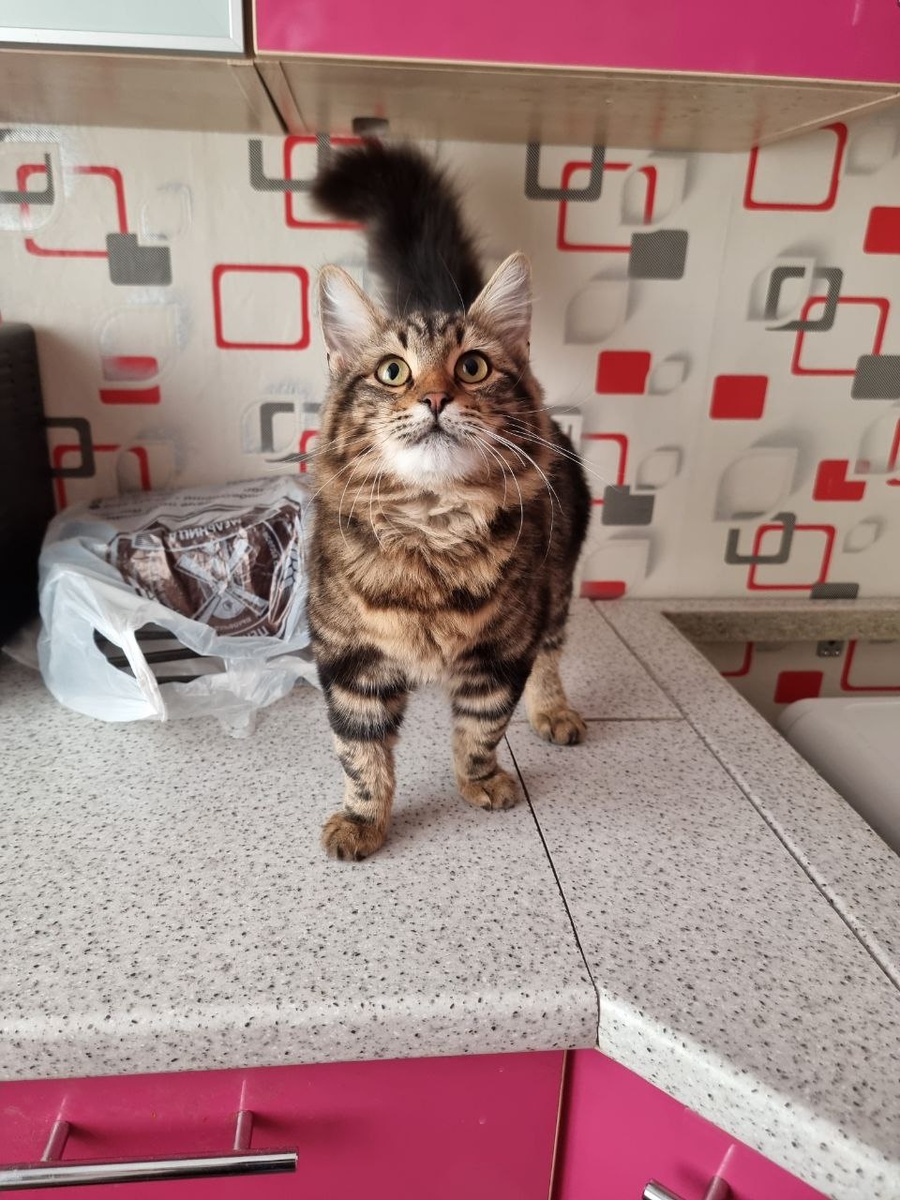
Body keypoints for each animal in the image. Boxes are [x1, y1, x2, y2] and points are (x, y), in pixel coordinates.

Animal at [307, 141, 591, 861]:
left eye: (472, 367)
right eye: (393, 372)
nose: (435, 398)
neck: (431, 529)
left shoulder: (502, 653)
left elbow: (481, 730)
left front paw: (480, 783)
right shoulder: (351, 661)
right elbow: (362, 757)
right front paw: (362, 823)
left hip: (558, 590)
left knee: (553, 656)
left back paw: (554, 712)